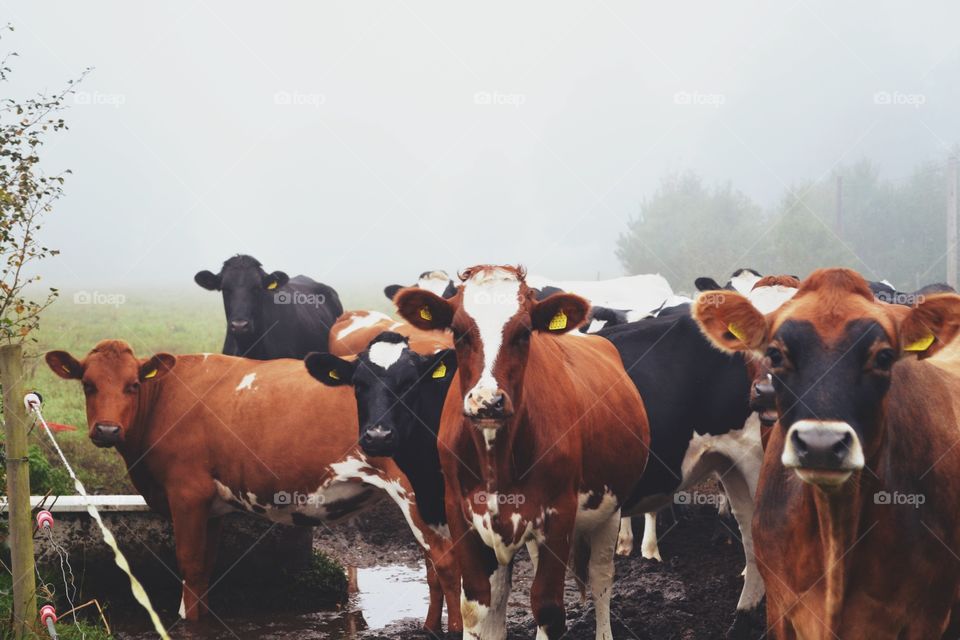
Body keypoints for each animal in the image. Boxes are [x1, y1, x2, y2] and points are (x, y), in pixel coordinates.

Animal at [44, 340, 458, 634]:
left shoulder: (186, 494)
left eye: (132, 385)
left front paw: (188, 622)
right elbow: (205, 569)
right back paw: (428, 627)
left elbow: (189, 565)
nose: (107, 429)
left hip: (414, 493)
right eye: (88, 385)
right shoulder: (210, 507)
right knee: (434, 567)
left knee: (448, 564)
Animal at [395, 265, 651, 640]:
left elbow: (548, 608)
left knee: (602, 577)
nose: (487, 401)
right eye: (458, 332)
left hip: (609, 508)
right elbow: (475, 603)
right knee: (501, 590)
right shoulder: (459, 512)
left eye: (524, 332)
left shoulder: (560, 512)